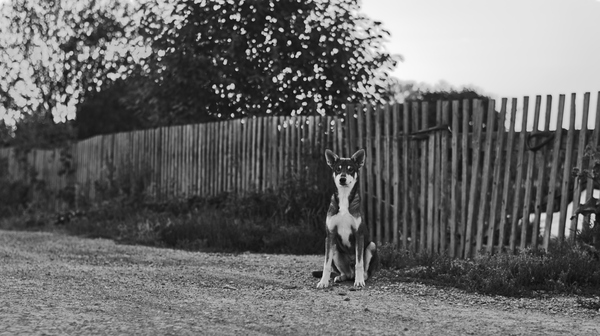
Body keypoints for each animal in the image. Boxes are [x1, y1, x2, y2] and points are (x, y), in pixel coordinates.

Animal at [314, 150, 380, 288]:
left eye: (350, 169)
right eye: (338, 169)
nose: (342, 178)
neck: (344, 197)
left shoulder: (359, 234)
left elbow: (359, 263)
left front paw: (359, 281)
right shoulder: (330, 235)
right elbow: (326, 264)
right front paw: (323, 282)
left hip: (371, 245)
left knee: (363, 270)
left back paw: (361, 277)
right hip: (334, 249)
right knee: (346, 273)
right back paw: (341, 276)